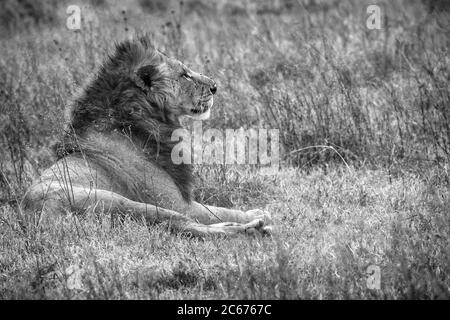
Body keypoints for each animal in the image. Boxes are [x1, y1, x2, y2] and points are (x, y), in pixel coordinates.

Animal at [22, 37, 270, 238]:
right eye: (185, 75)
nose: (215, 86)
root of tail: (41, 216)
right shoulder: (177, 203)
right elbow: (216, 211)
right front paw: (258, 212)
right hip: (121, 202)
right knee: (184, 225)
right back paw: (250, 228)